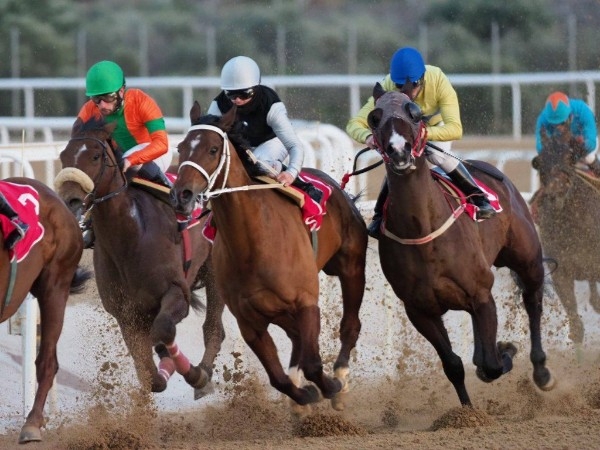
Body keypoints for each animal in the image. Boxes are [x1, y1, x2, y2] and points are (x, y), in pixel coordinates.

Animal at [54, 118, 225, 398]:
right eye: (63, 156)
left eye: (95, 155)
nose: (70, 200)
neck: (130, 238)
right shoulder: (126, 315)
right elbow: (150, 375)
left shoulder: (176, 292)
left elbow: (163, 329)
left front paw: (195, 375)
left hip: (214, 270)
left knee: (213, 329)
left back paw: (203, 373)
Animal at [169, 102, 366, 412]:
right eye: (181, 147)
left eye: (213, 149)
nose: (182, 195)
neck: (254, 242)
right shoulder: (250, 321)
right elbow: (278, 377)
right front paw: (305, 396)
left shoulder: (306, 302)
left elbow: (312, 363)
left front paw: (330, 387)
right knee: (297, 341)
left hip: (351, 266)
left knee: (349, 325)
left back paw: (341, 379)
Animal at [368, 82, 556, 406]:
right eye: (374, 117)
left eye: (414, 113)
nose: (398, 149)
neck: (424, 232)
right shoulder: (419, 310)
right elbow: (453, 365)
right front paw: (466, 410)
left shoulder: (481, 295)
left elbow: (493, 364)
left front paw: (507, 350)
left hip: (527, 258)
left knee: (533, 302)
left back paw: (541, 371)